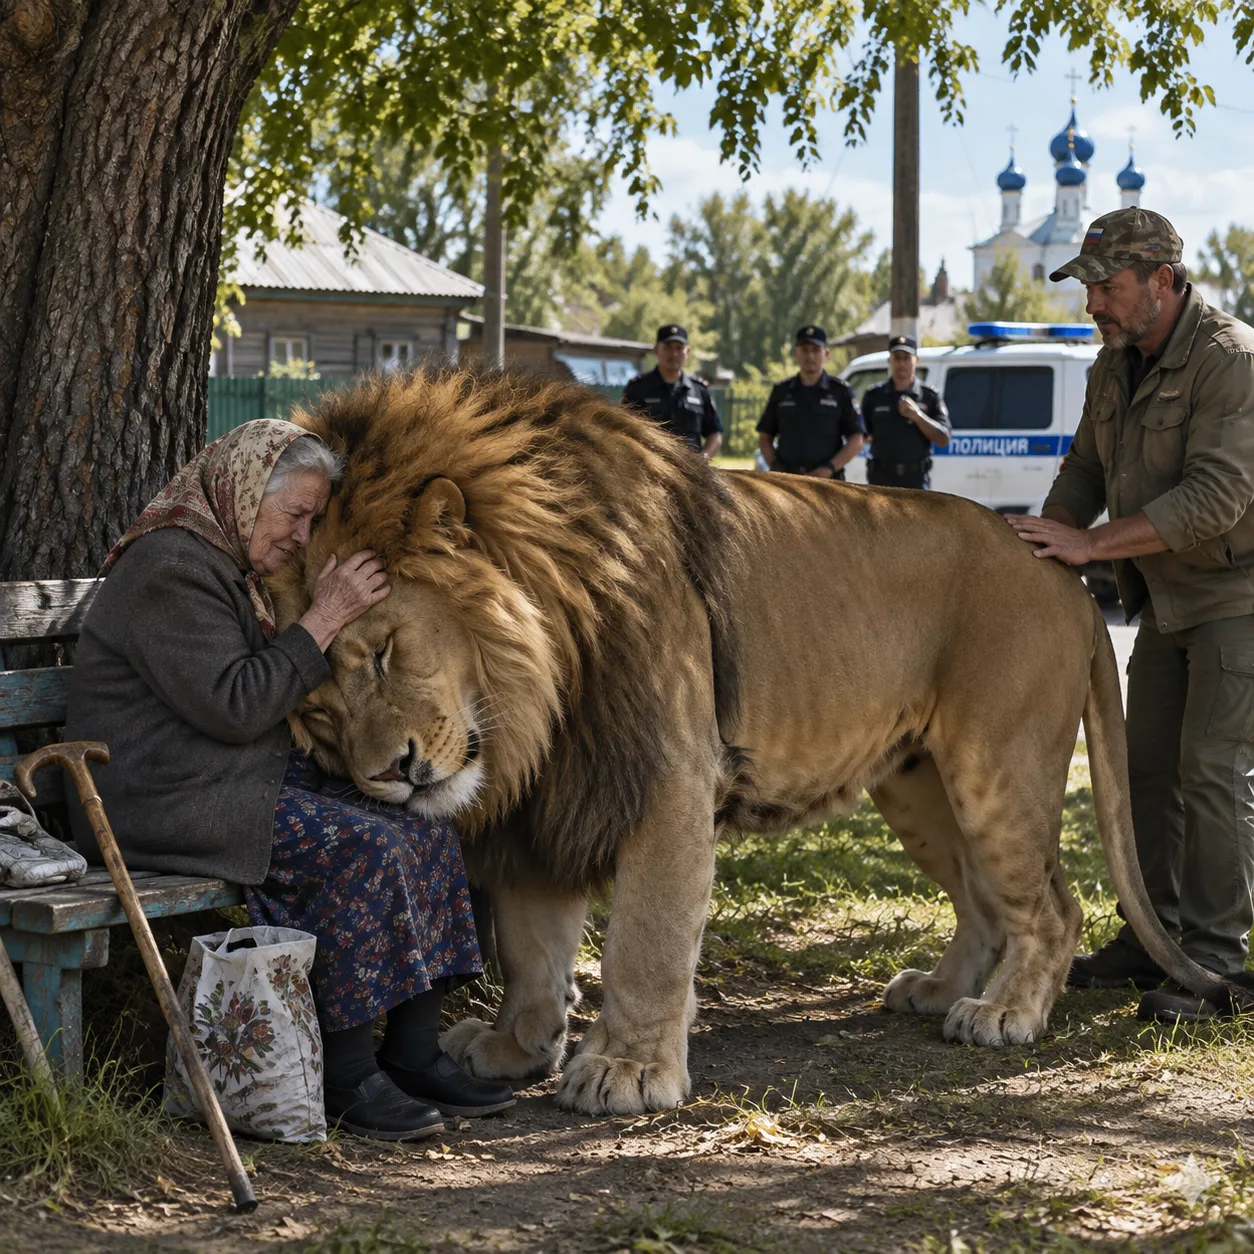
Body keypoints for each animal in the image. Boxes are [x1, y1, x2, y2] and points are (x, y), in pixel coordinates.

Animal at [270, 367, 1231, 1118]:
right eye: (316, 716)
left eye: (384, 650)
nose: (391, 775)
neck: (535, 694)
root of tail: (1065, 568)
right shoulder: (556, 791)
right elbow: (531, 943)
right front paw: (519, 1046)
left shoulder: (664, 774)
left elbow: (648, 935)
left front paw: (627, 1069)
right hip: (918, 783)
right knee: (989, 902)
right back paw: (941, 990)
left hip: (999, 766)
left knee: (1054, 907)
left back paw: (1006, 1016)